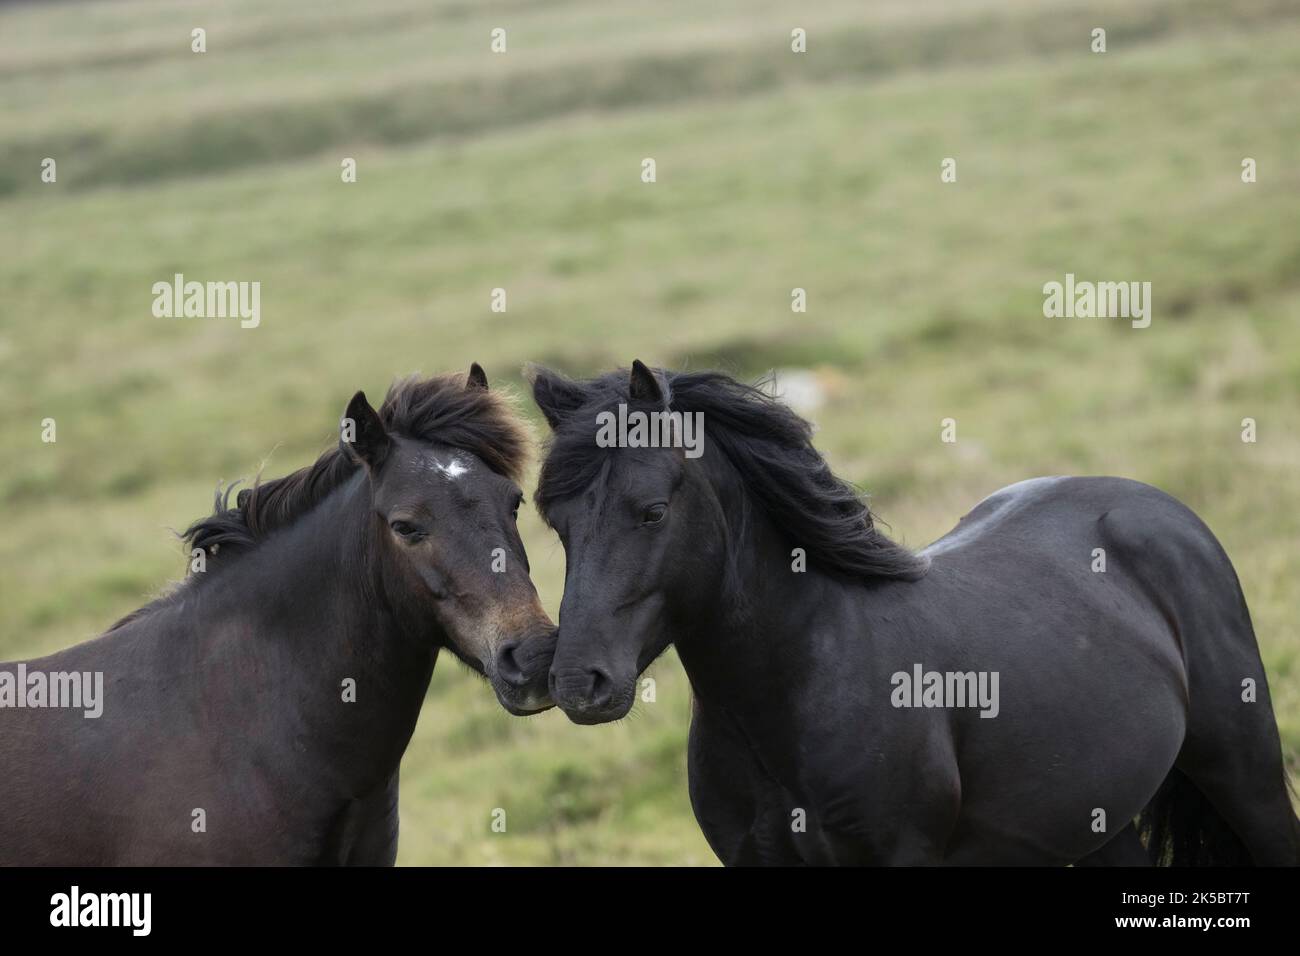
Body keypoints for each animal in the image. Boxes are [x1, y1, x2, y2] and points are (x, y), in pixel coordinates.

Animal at [528, 361, 1298, 866]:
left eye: (652, 511)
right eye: (557, 524)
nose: (577, 684)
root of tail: (1153, 505)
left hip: (1244, 771)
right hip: (1094, 827)